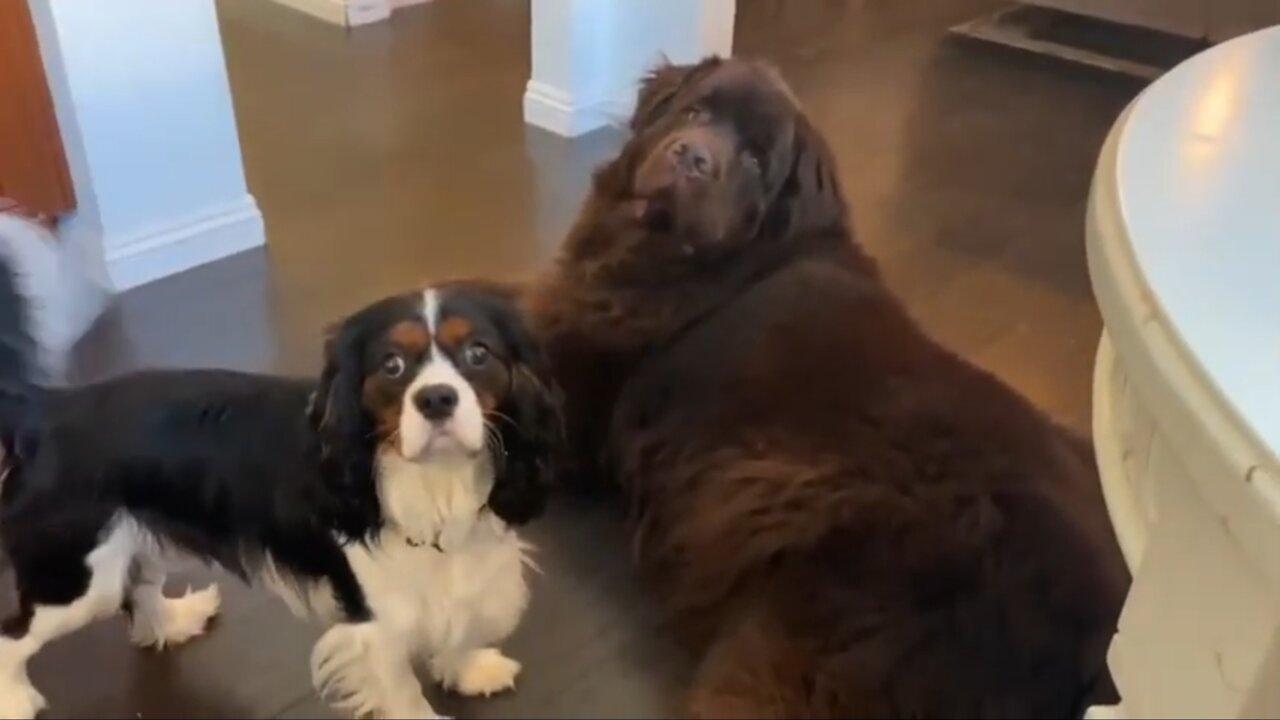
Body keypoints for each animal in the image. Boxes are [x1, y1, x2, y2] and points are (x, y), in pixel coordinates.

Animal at [0, 272, 563, 712]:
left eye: (478, 353)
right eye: (392, 366)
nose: (437, 398)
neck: (435, 478)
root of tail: (49, 409)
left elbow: (457, 619)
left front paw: (467, 668)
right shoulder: (374, 620)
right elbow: (403, 692)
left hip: (131, 540)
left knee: (138, 588)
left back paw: (175, 621)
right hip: (72, 578)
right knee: (14, 634)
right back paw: (14, 701)